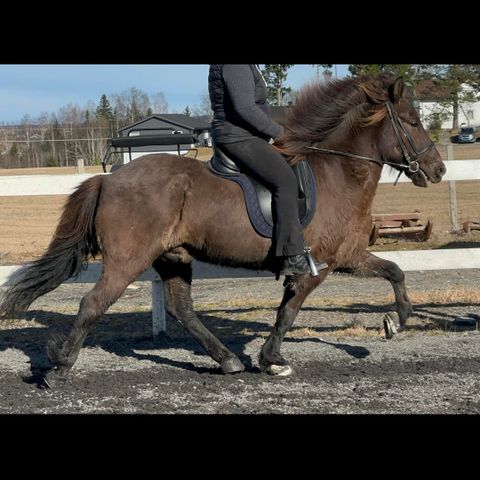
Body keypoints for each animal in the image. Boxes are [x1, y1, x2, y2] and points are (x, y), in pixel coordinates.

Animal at [0, 75, 444, 382]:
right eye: (413, 121)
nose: (438, 170)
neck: (337, 171)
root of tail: (108, 178)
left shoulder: (347, 255)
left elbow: (394, 271)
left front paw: (396, 321)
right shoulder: (319, 265)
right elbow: (289, 312)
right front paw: (272, 360)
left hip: (173, 257)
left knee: (181, 308)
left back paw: (227, 361)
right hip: (128, 259)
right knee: (93, 303)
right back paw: (60, 368)